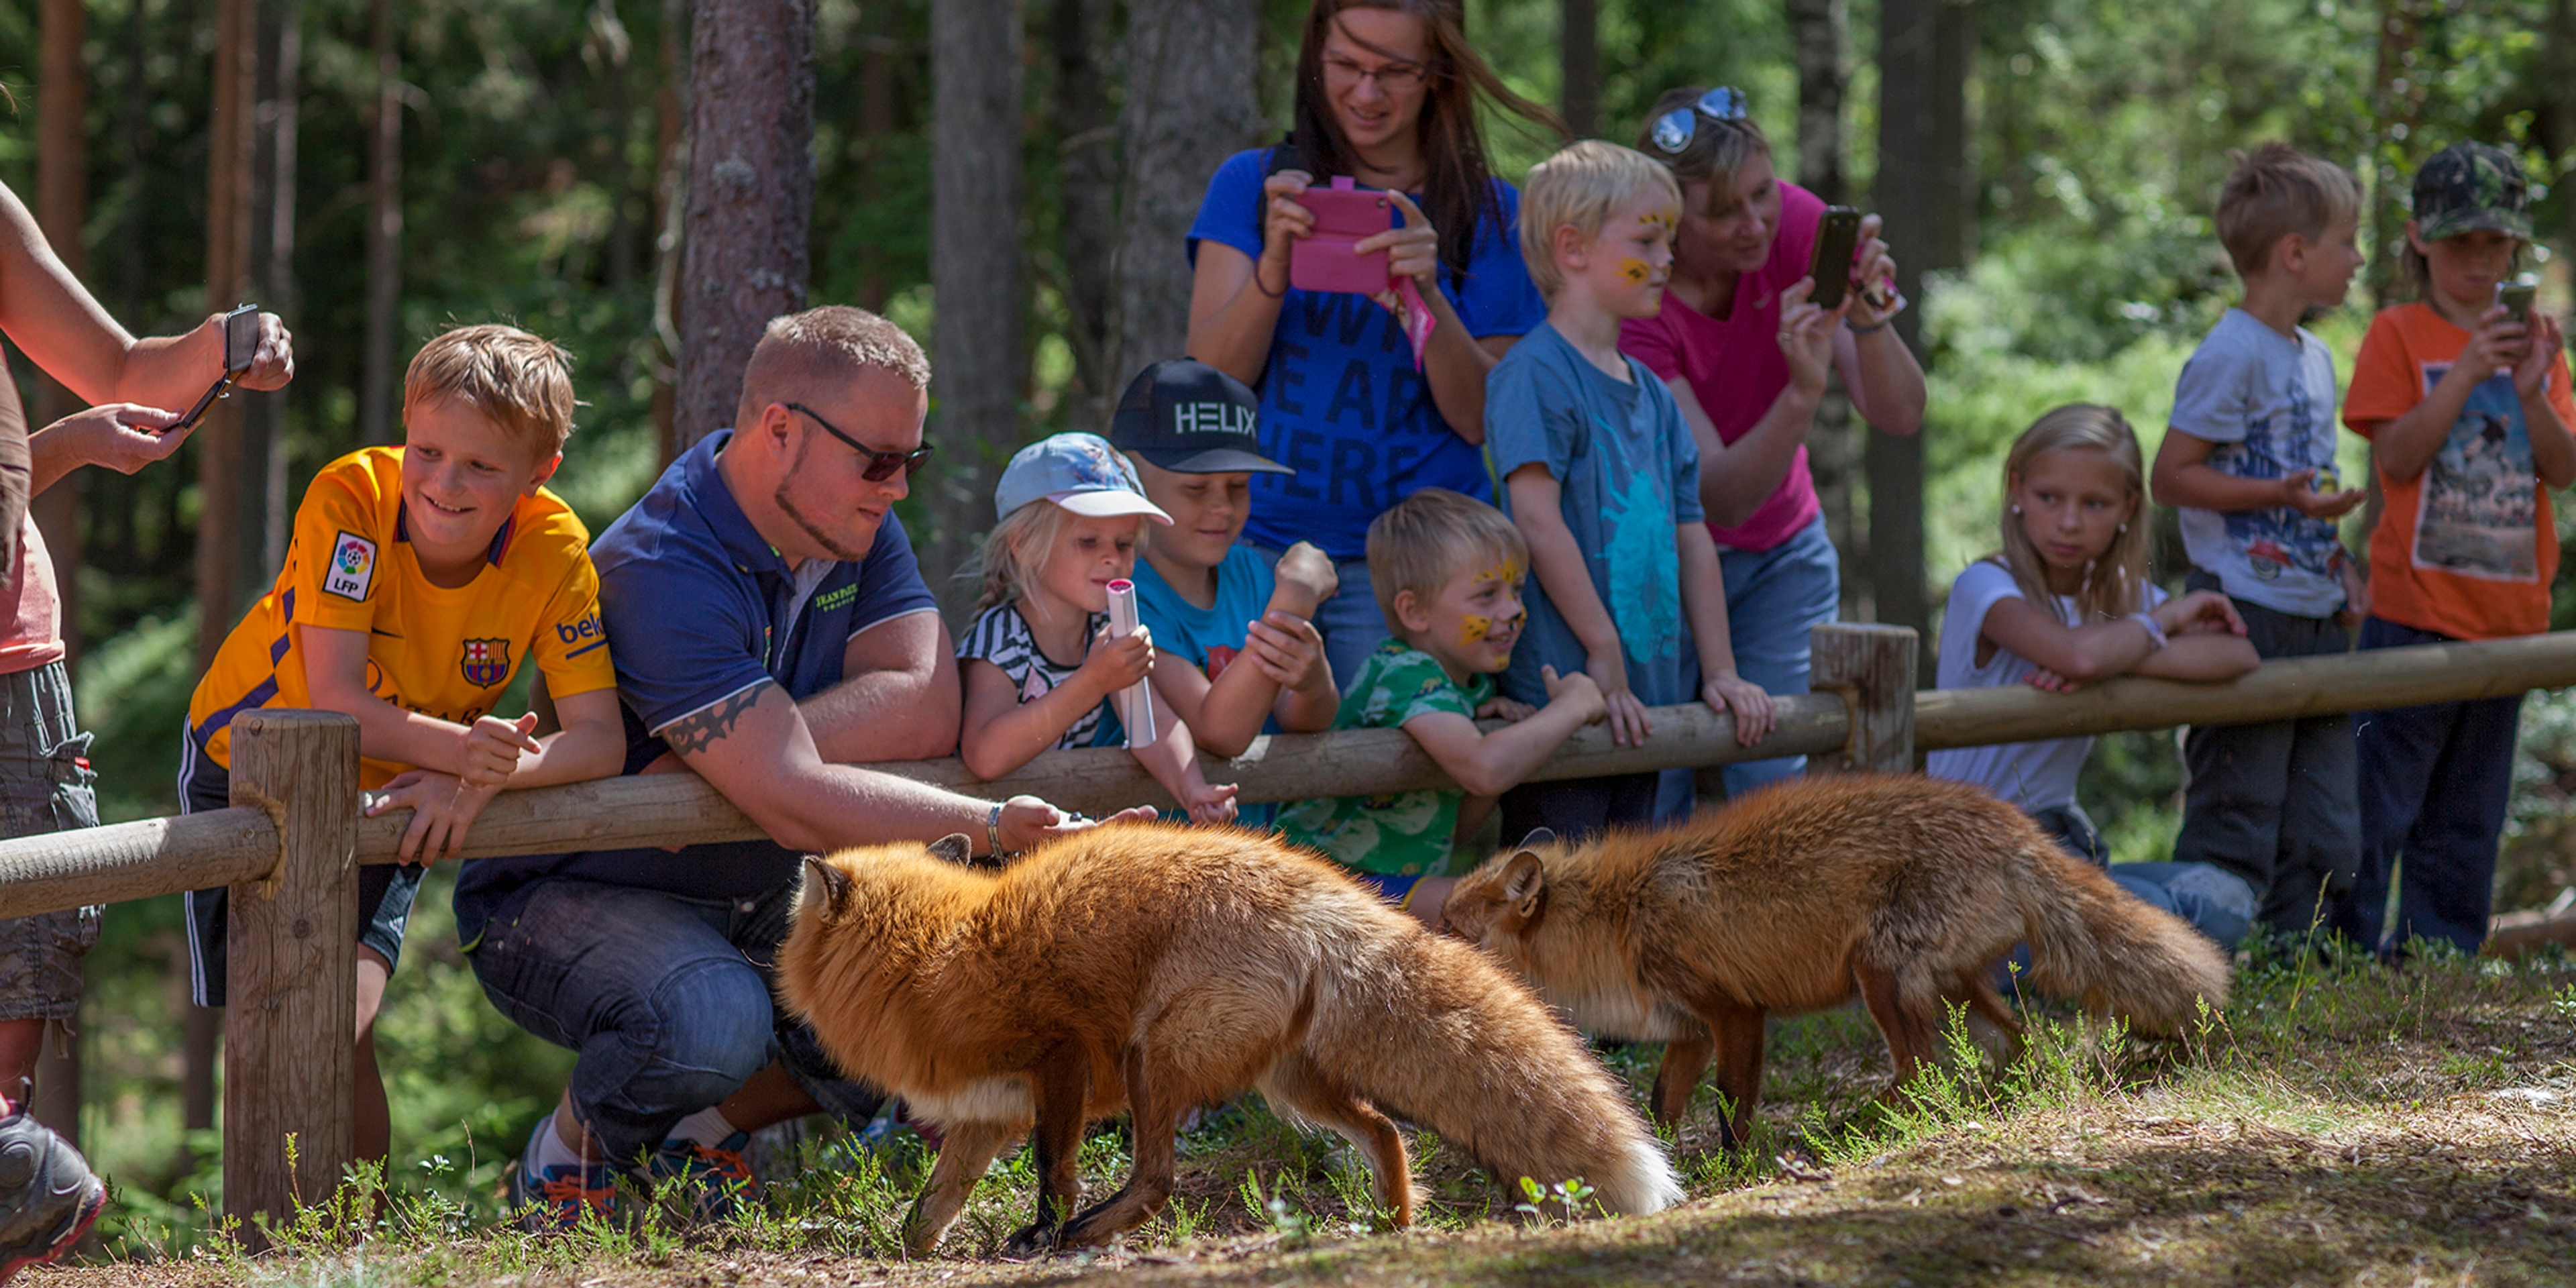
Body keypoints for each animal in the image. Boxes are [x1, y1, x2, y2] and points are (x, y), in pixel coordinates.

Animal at [774, 822, 1681, 1256]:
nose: (778, 1022)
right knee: (1387, 1130)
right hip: (1291, 1085)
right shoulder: (984, 1113)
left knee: (1157, 1183)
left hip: (1154, 1059)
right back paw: (1393, 1228)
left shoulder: (1057, 1061)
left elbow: (1053, 1174)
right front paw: (912, 1257)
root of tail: (1322, 892)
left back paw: (1083, 1237)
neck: (936, 952)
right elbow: (928, 1208)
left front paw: (1037, 1235)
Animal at [1438, 773, 2231, 1147]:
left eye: (1449, 924)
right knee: (2014, 1042)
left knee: (1924, 1072)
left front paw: (1735, 1168)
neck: (1618, 918)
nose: (1420, 941)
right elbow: (1662, 1107)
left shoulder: (1736, 1012)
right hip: (1954, 988)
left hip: (1881, 978)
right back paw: (1996, 1098)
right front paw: (1658, 1157)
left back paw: (1860, 1126)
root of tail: (2018, 829)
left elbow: (1732, 1108)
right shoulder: (1687, 1029)